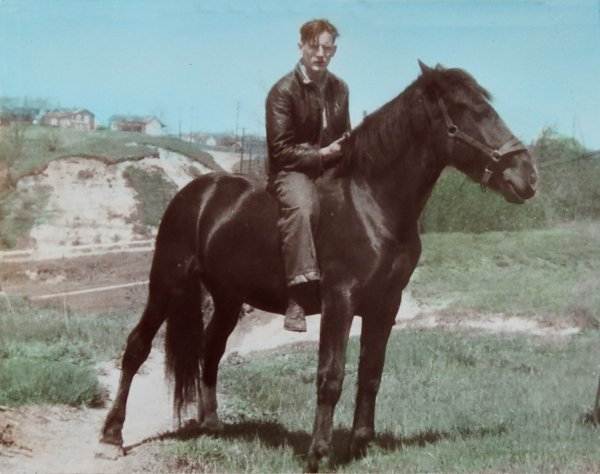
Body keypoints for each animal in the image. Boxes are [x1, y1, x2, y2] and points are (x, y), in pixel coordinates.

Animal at [99, 62, 540, 470]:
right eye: (475, 111)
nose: (529, 176)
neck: (371, 201)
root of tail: (195, 193)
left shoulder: (385, 306)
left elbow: (371, 373)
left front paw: (361, 446)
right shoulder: (339, 300)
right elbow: (331, 376)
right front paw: (319, 454)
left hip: (227, 299)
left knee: (210, 350)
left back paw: (211, 424)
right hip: (166, 283)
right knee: (136, 348)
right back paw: (111, 436)